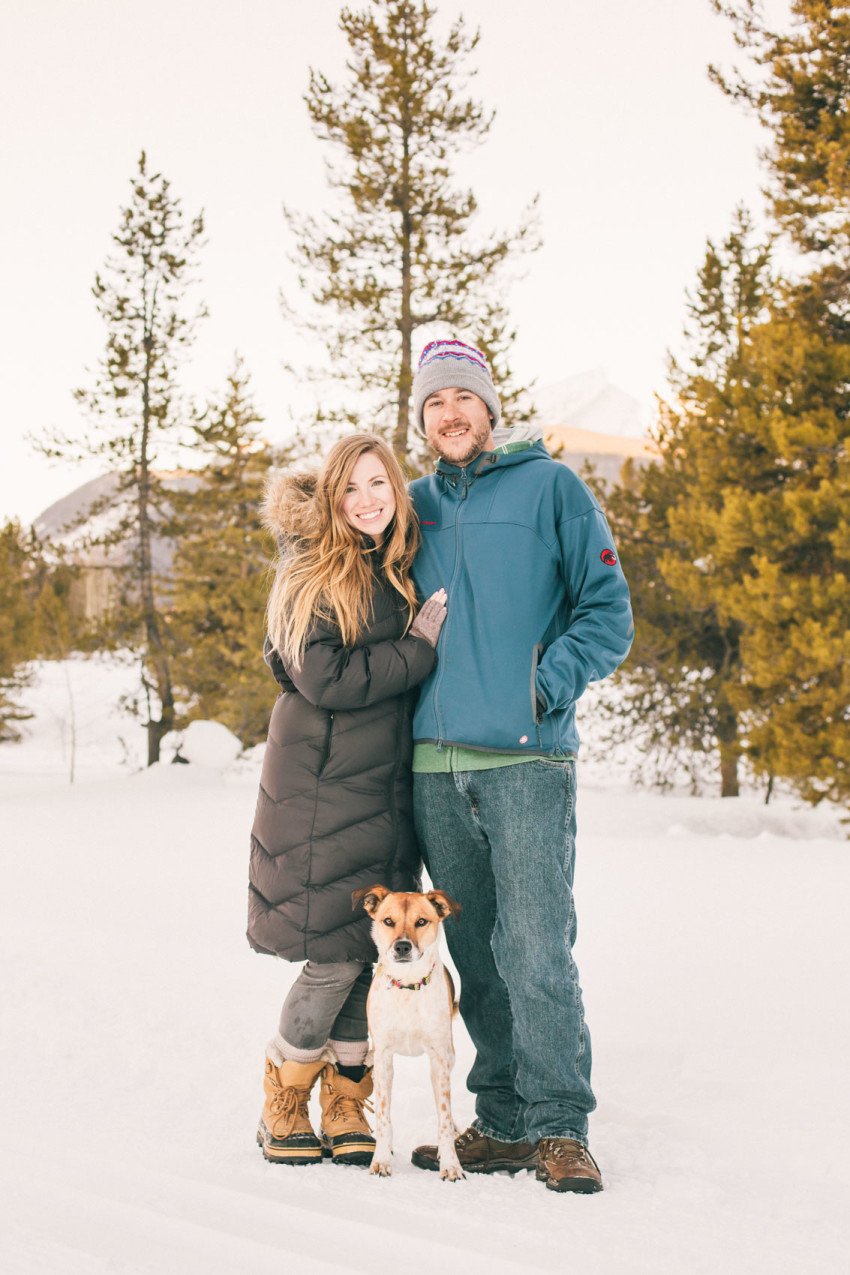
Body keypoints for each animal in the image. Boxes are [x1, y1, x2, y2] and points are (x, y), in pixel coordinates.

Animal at [351, 882, 466, 1178]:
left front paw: (451, 1164)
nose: (402, 946)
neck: (408, 986)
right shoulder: (383, 1057)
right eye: (388, 921)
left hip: (448, 1056)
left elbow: (443, 1117)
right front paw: (381, 1159)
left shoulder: (439, 1058)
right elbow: (383, 1116)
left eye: (421, 921)